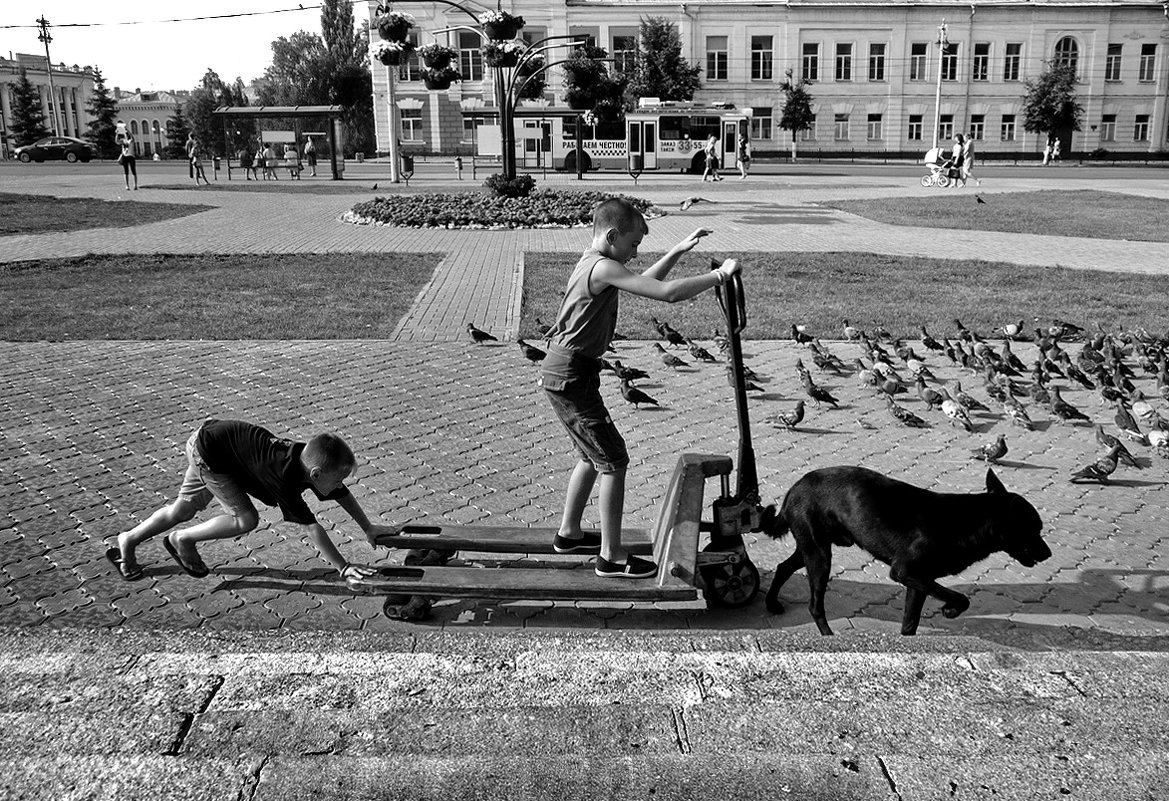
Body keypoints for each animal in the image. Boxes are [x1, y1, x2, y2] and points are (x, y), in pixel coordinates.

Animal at [757, 465, 1052, 636]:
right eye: (1033, 529)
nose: (1048, 554)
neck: (968, 522)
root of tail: (794, 489)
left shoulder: (918, 582)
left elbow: (910, 622)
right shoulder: (905, 572)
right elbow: (960, 598)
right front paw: (950, 610)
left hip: (811, 548)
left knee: (784, 567)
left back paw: (771, 603)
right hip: (819, 556)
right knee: (815, 606)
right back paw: (828, 636)